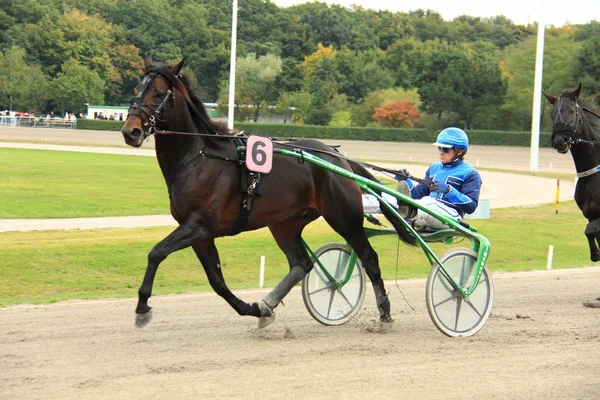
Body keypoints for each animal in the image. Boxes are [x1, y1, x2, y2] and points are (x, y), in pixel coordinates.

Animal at [119, 57, 414, 332]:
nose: (130, 131)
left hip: (344, 218)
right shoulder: (200, 234)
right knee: (301, 264)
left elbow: (157, 252)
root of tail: (339, 158)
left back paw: (385, 314)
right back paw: (267, 304)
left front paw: (142, 307)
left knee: (369, 259)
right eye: (136, 89)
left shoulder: (199, 226)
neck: (199, 157)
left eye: (158, 92)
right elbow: (217, 281)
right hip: (285, 223)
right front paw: (252, 309)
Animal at [544, 83, 600, 260]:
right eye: (552, 114)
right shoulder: (590, 215)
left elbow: (590, 229)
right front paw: (595, 254)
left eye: (571, 111)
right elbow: (590, 231)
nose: (559, 141)